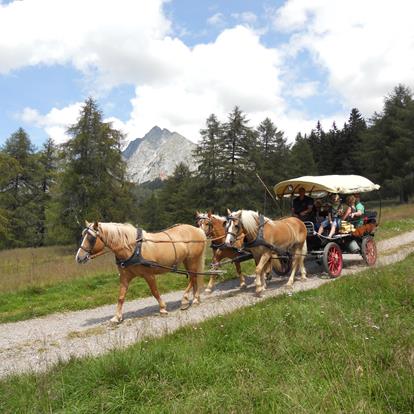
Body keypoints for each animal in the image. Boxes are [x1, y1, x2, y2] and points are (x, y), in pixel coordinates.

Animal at [75, 220, 206, 324]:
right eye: (83, 235)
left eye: (91, 238)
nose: (79, 258)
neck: (133, 248)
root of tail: (198, 230)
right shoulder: (125, 277)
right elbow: (121, 297)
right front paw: (116, 317)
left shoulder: (149, 275)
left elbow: (155, 292)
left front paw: (163, 308)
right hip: (187, 261)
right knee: (194, 278)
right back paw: (195, 299)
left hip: (192, 260)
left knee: (193, 278)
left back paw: (186, 300)